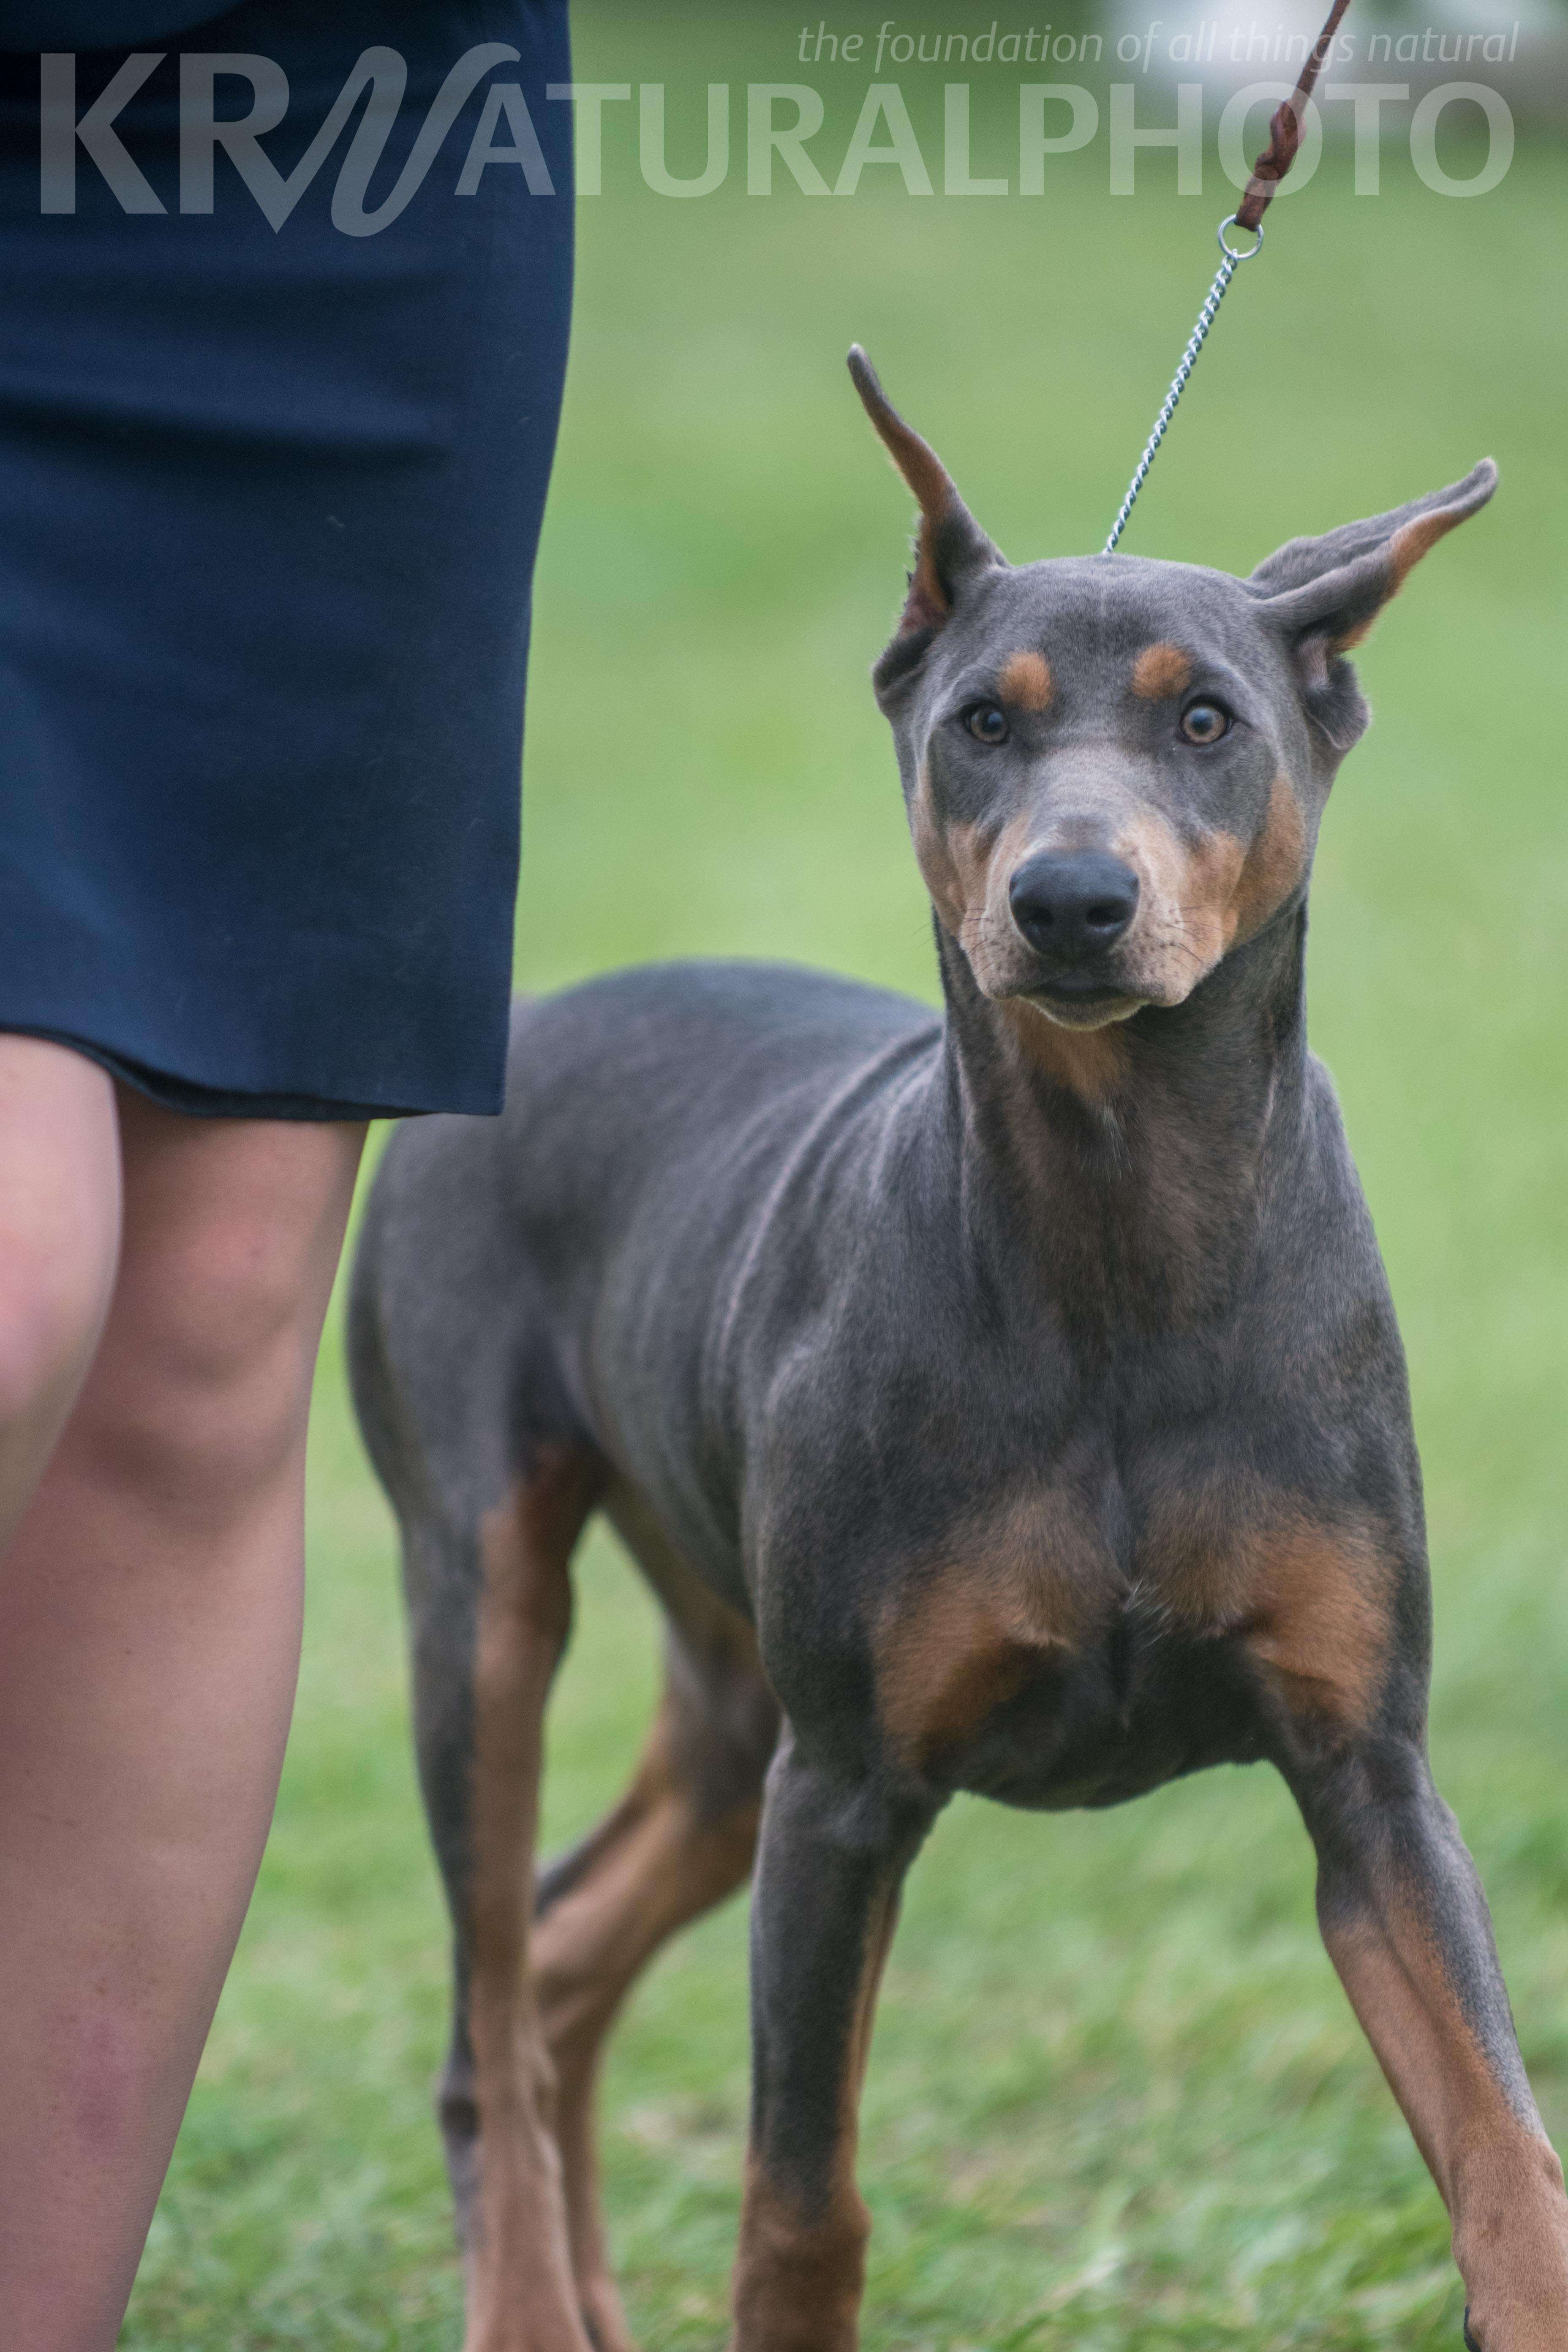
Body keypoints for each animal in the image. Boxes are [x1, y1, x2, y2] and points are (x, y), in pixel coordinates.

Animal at [346, 353, 1568, 2352]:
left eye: (1210, 719)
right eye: (980, 723)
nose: (1070, 898)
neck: (1123, 1240)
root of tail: (538, 1015)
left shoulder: (1369, 1776)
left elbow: (1503, 2162)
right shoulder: (844, 1795)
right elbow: (799, 2205)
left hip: (729, 1688)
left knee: (561, 1948)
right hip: (495, 1602)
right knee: (490, 1999)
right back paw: (528, 2293)